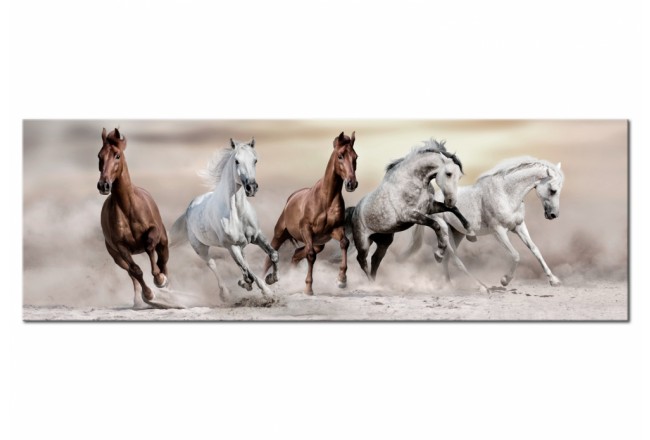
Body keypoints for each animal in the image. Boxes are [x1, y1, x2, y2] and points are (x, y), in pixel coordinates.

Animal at [96, 127, 174, 309]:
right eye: (99, 156)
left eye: (117, 155)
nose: (103, 185)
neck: (128, 208)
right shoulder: (121, 247)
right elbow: (136, 270)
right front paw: (149, 294)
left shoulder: (154, 232)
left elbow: (150, 246)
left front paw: (159, 279)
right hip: (116, 257)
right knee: (131, 273)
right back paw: (139, 300)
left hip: (164, 243)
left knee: (163, 262)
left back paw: (166, 287)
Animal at [170, 138, 278, 298]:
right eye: (237, 161)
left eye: (255, 160)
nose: (251, 187)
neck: (237, 214)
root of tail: (189, 207)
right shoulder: (231, 246)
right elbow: (248, 272)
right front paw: (262, 290)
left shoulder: (257, 236)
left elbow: (273, 255)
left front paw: (271, 279)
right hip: (201, 248)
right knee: (212, 264)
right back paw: (225, 293)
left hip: (241, 245)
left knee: (244, 263)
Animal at [262, 131, 358, 295]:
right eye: (340, 156)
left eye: (355, 157)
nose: (352, 184)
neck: (326, 199)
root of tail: (291, 199)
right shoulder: (306, 230)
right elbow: (311, 256)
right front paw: (308, 288)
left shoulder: (335, 229)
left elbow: (344, 243)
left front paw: (341, 280)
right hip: (280, 235)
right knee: (269, 259)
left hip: (319, 243)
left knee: (296, 255)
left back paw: (288, 279)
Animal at [347, 139, 474, 281]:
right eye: (448, 174)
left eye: (459, 177)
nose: (451, 200)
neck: (413, 181)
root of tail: (354, 211)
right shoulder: (410, 215)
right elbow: (436, 225)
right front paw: (439, 253)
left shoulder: (429, 208)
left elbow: (455, 211)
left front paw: (471, 233)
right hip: (363, 242)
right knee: (362, 260)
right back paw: (370, 283)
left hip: (384, 241)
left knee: (375, 259)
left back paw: (374, 281)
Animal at [403, 156, 564, 291]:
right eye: (553, 190)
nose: (553, 215)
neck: (506, 194)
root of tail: (431, 201)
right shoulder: (498, 231)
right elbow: (516, 255)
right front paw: (504, 280)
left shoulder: (519, 227)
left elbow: (535, 250)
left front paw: (554, 280)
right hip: (445, 231)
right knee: (456, 261)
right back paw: (480, 287)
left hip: (457, 233)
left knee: (446, 260)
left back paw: (449, 285)